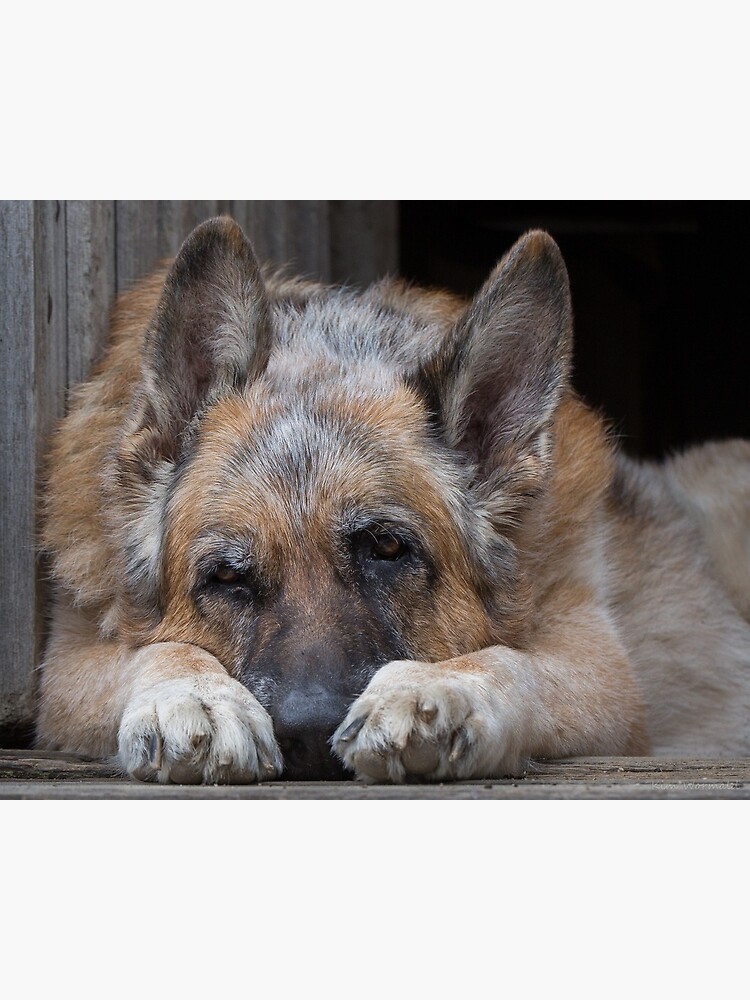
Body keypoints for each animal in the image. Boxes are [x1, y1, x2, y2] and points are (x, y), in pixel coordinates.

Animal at [33, 219, 750, 780]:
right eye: (228, 577)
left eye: (386, 546)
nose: (307, 734)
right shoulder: (66, 669)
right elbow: (153, 652)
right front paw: (189, 696)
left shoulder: (600, 667)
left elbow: (508, 660)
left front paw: (439, 685)